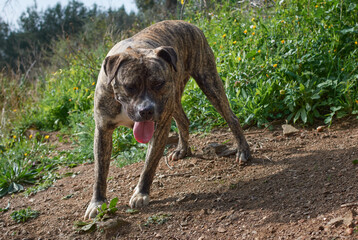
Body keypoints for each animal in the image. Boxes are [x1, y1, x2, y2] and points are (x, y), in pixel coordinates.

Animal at [85, 20, 250, 219]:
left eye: (158, 83)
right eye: (130, 86)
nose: (146, 110)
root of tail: (189, 24)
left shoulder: (160, 126)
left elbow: (149, 164)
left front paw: (141, 193)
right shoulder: (103, 130)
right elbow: (100, 173)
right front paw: (97, 202)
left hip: (208, 82)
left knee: (231, 117)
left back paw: (242, 150)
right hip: (174, 99)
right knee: (183, 120)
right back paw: (182, 150)